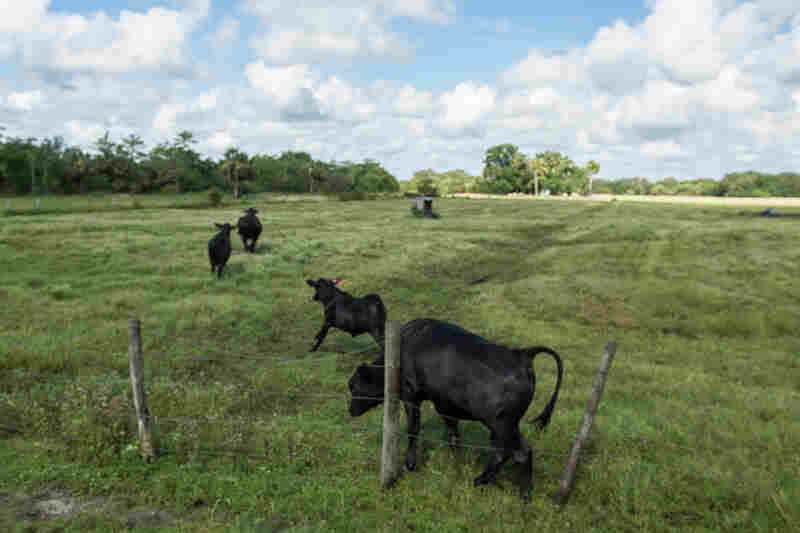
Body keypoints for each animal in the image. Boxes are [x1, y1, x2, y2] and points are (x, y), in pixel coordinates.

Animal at [347, 318, 563, 501]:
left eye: (353, 386)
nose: (350, 410)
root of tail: (521, 354)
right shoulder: (445, 405)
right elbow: (453, 435)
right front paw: (455, 464)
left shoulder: (411, 396)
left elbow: (413, 430)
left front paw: (410, 464)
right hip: (507, 424)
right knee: (517, 451)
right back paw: (522, 494)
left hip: (501, 422)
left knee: (511, 452)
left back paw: (485, 482)